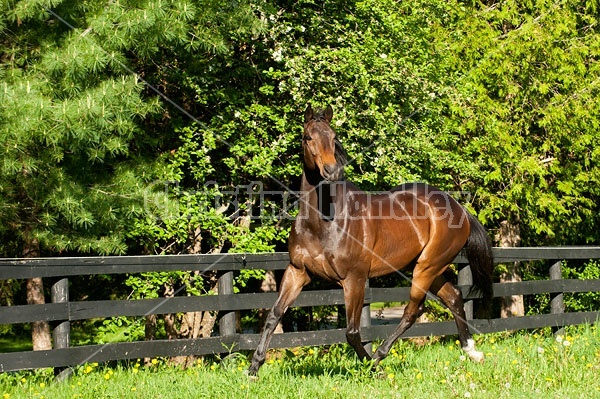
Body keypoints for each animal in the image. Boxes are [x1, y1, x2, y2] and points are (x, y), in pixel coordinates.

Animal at [248, 104, 492, 376]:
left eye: (333, 137)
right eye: (308, 137)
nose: (331, 171)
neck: (324, 222)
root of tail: (459, 208)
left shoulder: (354, 279)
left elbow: (353, 332)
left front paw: (369, 368)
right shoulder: (297, 271)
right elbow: (274, 314)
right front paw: (253, 369)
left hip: (427, 267)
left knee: (412, 311)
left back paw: (378, 359)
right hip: (428, 267)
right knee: (454, 298)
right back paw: (472, 352)